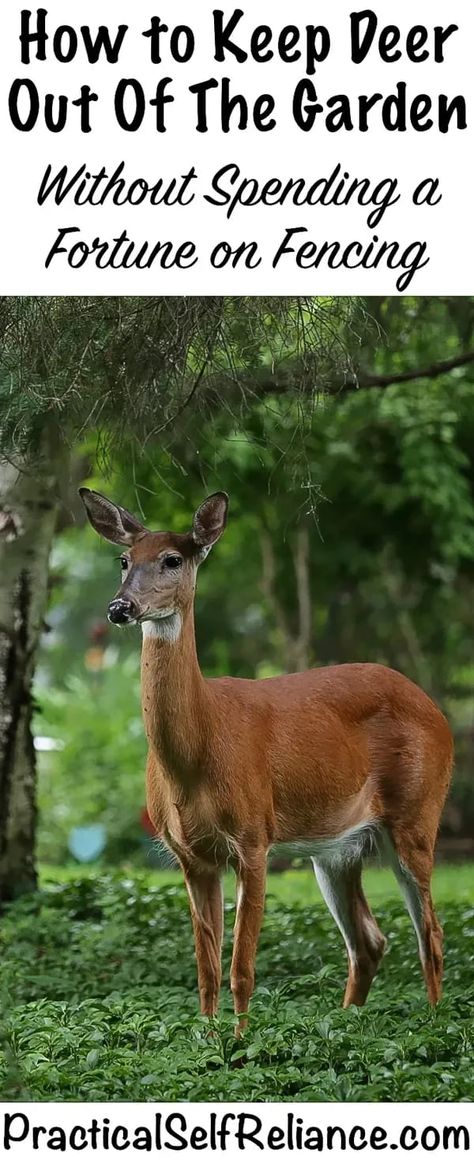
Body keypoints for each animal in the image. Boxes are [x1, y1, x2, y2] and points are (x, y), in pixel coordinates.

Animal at [79, 484, 451, 1030]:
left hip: (418, 812)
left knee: (431, 935)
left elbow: (242, 968)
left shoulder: (254, 837)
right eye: (124, 559)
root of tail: (435, 709)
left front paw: (238, 1042)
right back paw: (346, 1025)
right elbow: (206, 969)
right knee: (369, 941)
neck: (196, 756)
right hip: (338, 849)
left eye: (172, 559)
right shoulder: (190, 855)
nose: (120, 607)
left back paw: (432, 1024)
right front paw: (208, 1038)